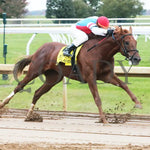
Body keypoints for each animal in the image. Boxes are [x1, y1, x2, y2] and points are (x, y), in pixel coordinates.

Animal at [0, 26, 142, 123]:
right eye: (127, 42)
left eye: (135, 41)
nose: (137, 59)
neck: (100, 52)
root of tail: (38, 50)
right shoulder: (90, 77)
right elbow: (97, 98)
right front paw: (104, 119)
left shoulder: (107, 76)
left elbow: (124, 85)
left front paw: (137, 102)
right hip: (34, 71)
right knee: (20, 86)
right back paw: (3, 104)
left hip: (53, 78)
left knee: (37, 93)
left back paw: (29, 115)